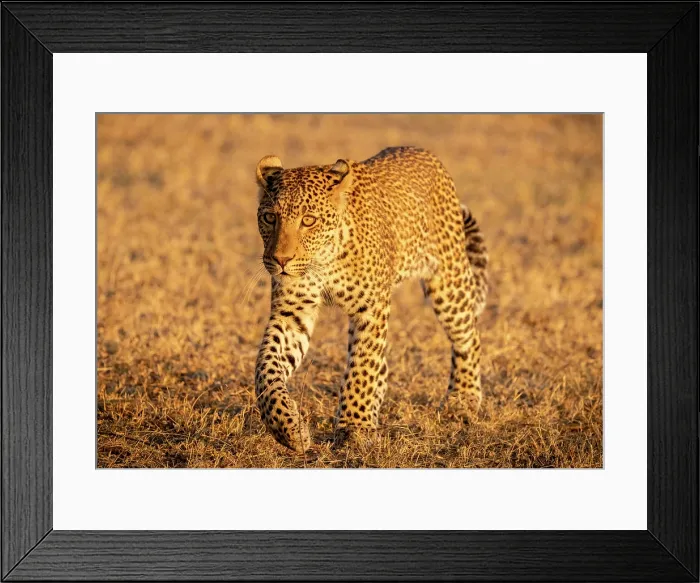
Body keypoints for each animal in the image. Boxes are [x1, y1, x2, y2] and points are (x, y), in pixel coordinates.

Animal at [253, 146, 488, 452]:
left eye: (308, 220)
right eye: (270, 218)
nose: (281, 260)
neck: (325, 260)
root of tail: (424, 153)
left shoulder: (372, 309)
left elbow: (362, 367)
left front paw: (355, 428)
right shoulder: (291, 314)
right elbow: (266, 368)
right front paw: (287, 428)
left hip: (448, 282)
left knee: (468, 336)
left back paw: (463, 399)